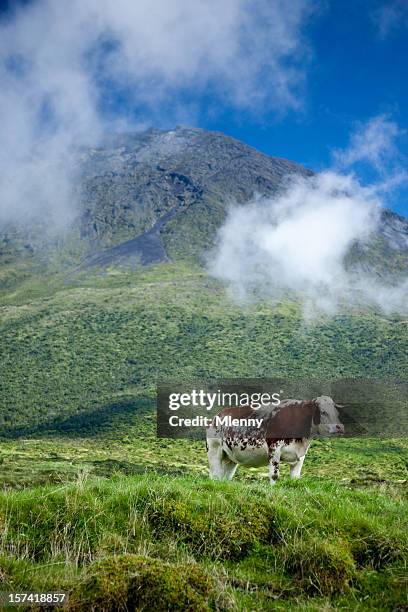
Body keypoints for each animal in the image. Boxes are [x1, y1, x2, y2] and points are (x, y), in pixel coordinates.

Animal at [207, 394, 344, 486]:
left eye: (337, 413)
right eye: (323, 412)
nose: (339, 427)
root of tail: (217, 416)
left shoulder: (300, 456)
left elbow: (295, 478)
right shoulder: (274, 449)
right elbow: (274, 475)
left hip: (230, 458)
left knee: (225, 476)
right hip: (214, 450)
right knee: (215, 474)